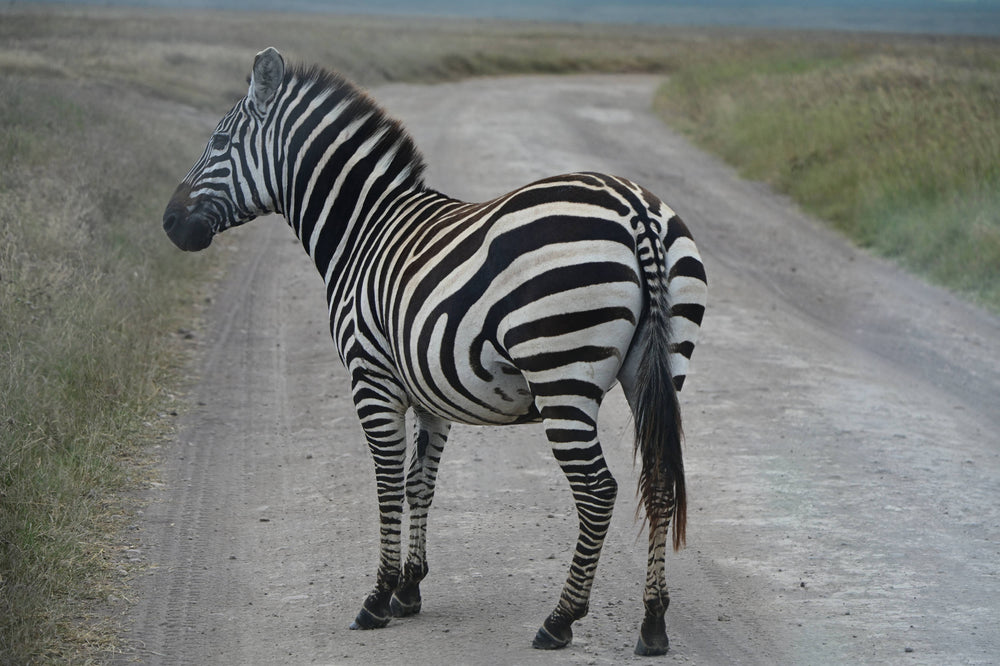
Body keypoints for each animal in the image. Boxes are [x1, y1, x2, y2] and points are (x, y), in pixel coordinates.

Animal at [163, 47, 707, 656]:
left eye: (217, 142)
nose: (169, 223)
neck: (362, 229)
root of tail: (635, 208)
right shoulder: (431, 391)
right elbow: (419, 481)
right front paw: (409, 589)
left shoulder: (371, 379)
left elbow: (386, 482)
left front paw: (377, 598)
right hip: (659, 370)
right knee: (659, 480)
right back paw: (653, 623)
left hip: (561, 374)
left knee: (597, 490)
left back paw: (560, 618)